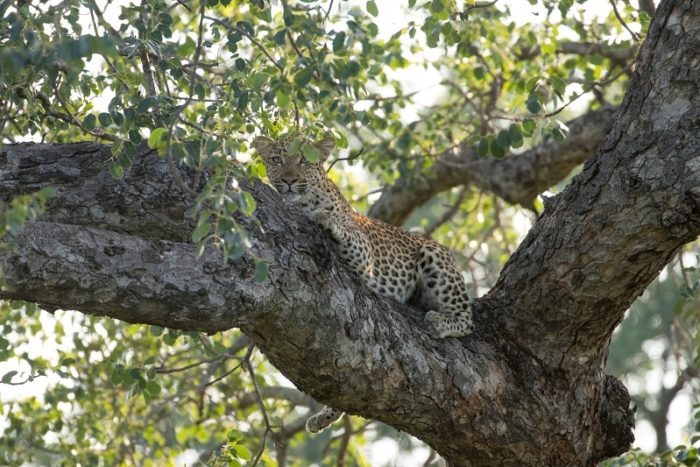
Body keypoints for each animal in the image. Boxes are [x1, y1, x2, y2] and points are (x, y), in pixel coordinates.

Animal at [253, 134, 474, 433]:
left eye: (304, 161)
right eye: (276, 159)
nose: (288, 180)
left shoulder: (363, 257)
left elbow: (342, 228)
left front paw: (323, 217)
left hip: (434, 254)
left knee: (468, 319)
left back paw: (440, 322)